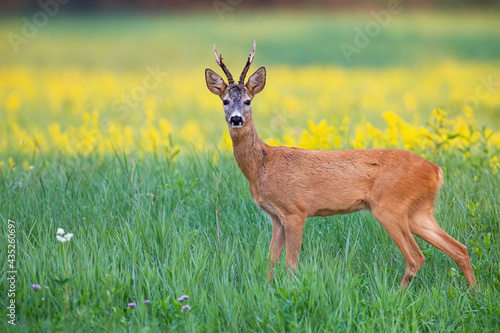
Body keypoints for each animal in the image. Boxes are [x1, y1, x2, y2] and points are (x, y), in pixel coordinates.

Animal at [204, 41, 476, 290]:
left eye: (248, 101)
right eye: (225, 101)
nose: (236, 119)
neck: (261, 165)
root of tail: (436, 171)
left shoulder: (295, 210)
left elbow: (291, 263)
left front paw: (290, 293)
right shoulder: (276, 217)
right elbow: (271, 261)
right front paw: (269, 292)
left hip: (390, 206)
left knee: (416, 257)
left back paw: (398, 295)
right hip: (418, 211)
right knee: (459, 248)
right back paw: (474, 294)